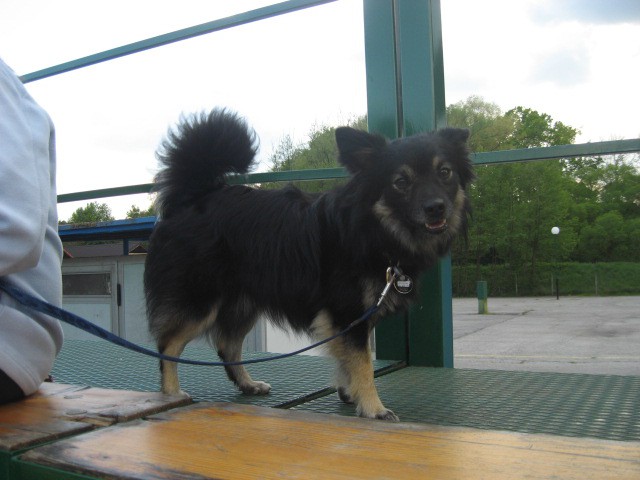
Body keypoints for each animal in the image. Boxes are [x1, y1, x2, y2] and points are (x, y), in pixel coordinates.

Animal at [145, 109, 476, 420]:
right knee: (168, 348)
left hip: (242, 303)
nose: (436, 208)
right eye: (401, 182)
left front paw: (349, 392)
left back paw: (247, 384)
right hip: (199, 302)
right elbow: (363, 364)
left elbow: (349, 360)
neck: (372, 229)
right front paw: (373, 408)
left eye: (445, 172)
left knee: (227, 345)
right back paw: (173, 395)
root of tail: (193, 196)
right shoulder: (347, 312)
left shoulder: (353, 319)